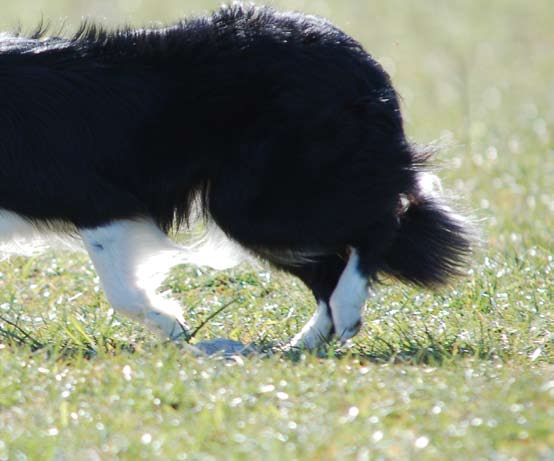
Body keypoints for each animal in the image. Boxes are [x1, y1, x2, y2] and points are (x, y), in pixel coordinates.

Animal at [1, 3, 470, 350]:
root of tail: (360, 61)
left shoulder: (97, 198)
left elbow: (121, 290)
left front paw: (172, 327)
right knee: (328, 269)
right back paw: (300, 346)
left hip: (255, 203)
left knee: (379, 224)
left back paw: (347, 310)